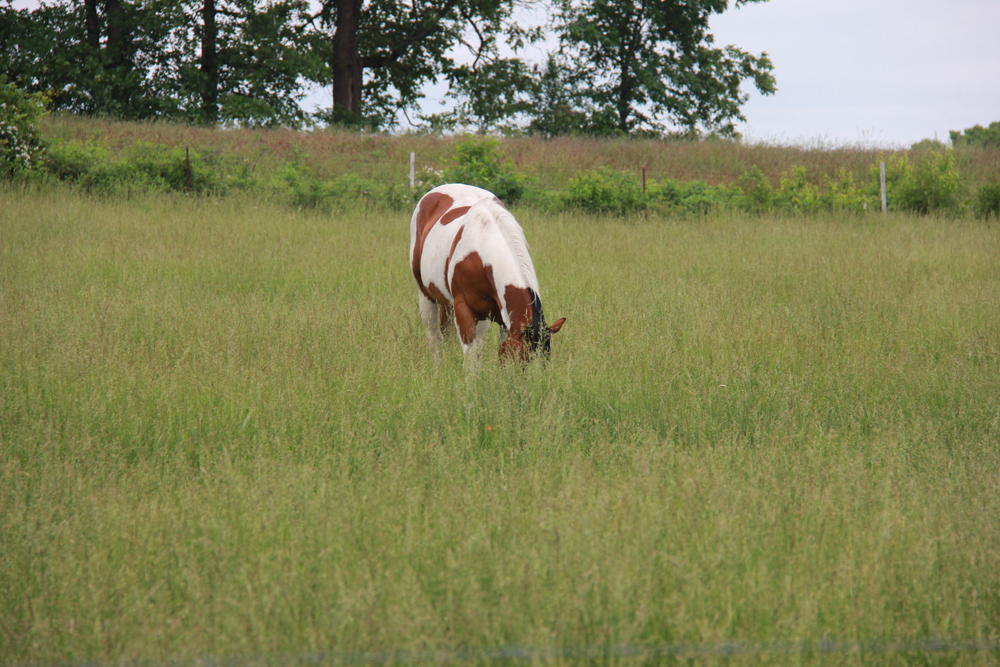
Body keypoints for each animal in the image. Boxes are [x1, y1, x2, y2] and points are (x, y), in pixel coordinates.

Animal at [406, 184, 564, 366]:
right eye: (520, 361)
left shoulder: (503, 321)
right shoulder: (465, 310)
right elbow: (471, 357)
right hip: (427, 297)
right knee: (434, 336)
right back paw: (438, 367)